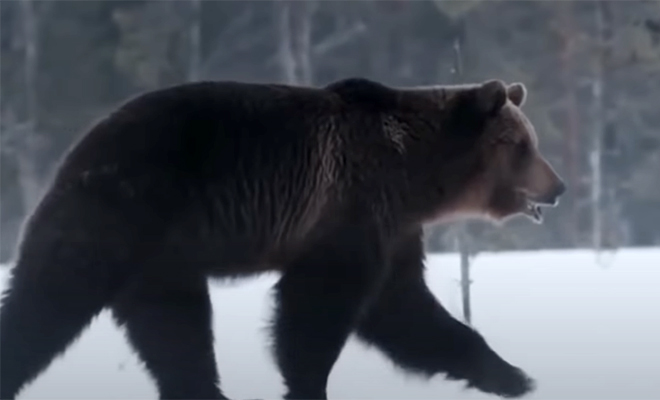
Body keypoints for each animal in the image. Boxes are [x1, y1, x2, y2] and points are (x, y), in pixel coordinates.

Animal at [1, 76, 568, 398]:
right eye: (522, 144)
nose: (558, 186)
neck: (417, 175)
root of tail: (78, 150)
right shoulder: (350, 210)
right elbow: (318, 310)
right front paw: (307, 386)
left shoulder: (395, 230)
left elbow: (407, 312)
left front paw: (512, 376)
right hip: (122, 214)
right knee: (48, 300)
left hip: (162, 262)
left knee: (175, 333)